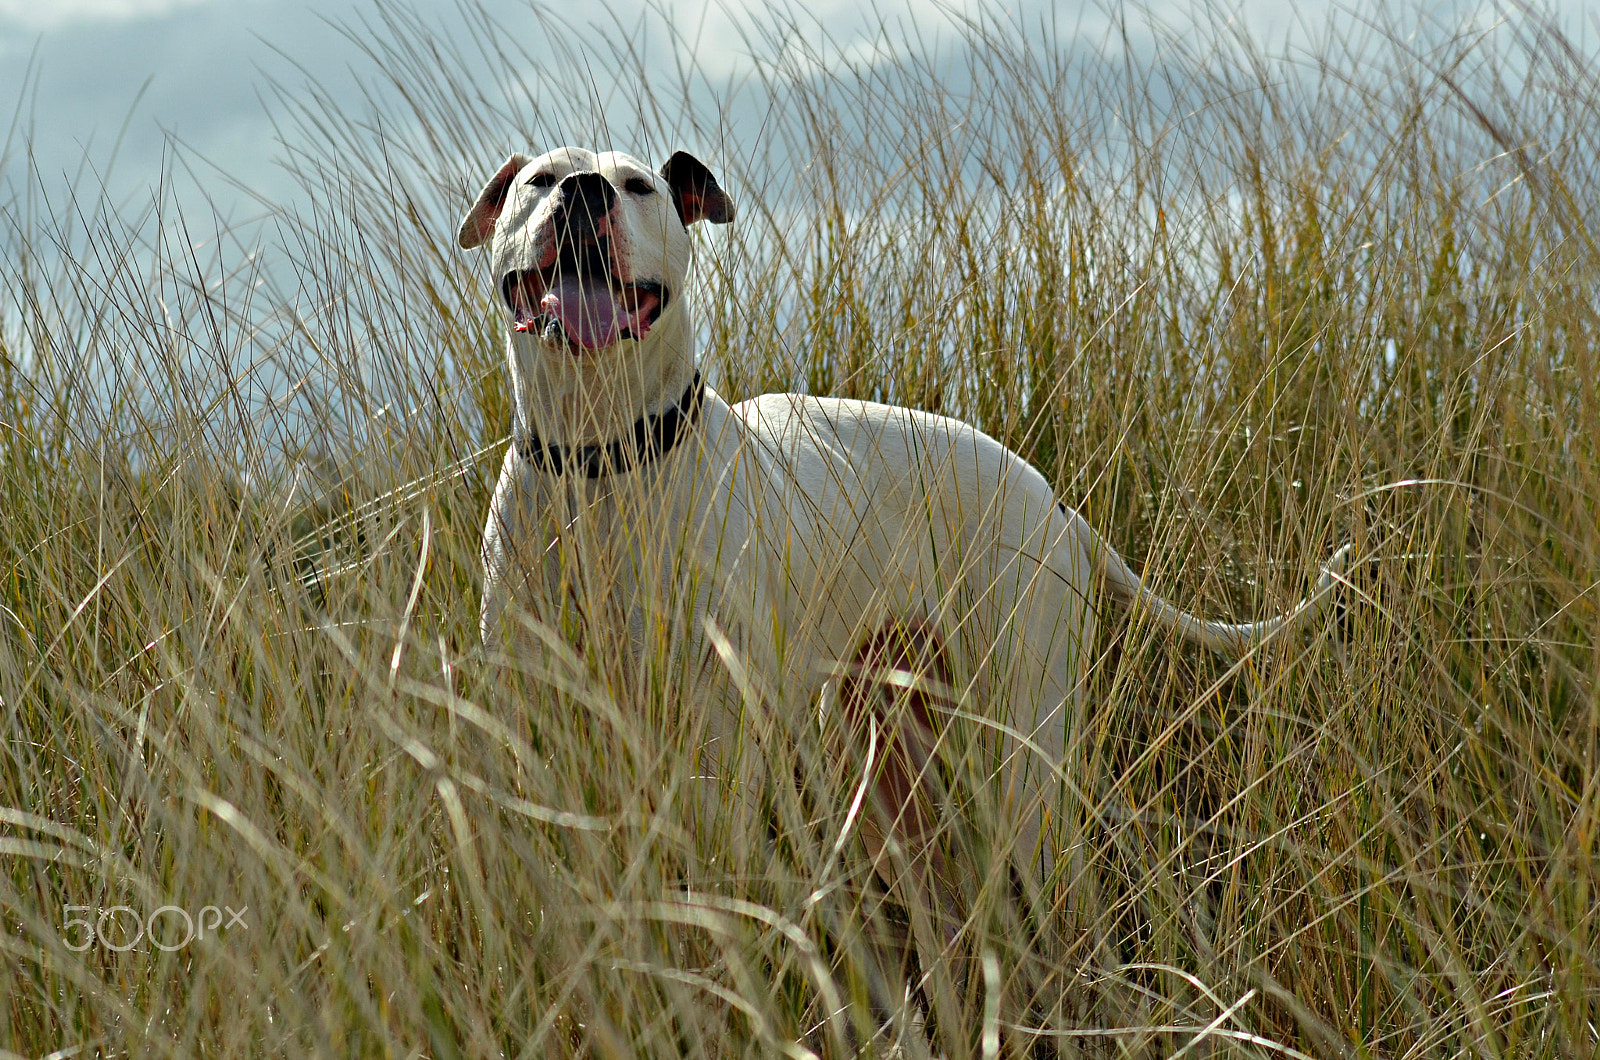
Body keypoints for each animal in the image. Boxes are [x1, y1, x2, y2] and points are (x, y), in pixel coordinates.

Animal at [464, 145, 1350, 903]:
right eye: (539, 179)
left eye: (639, 187)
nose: (585, 193)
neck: (599, 464)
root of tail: (1056, 502)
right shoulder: (527, 731)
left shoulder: (715, 743)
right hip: (889, 743)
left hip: (1026, 747)